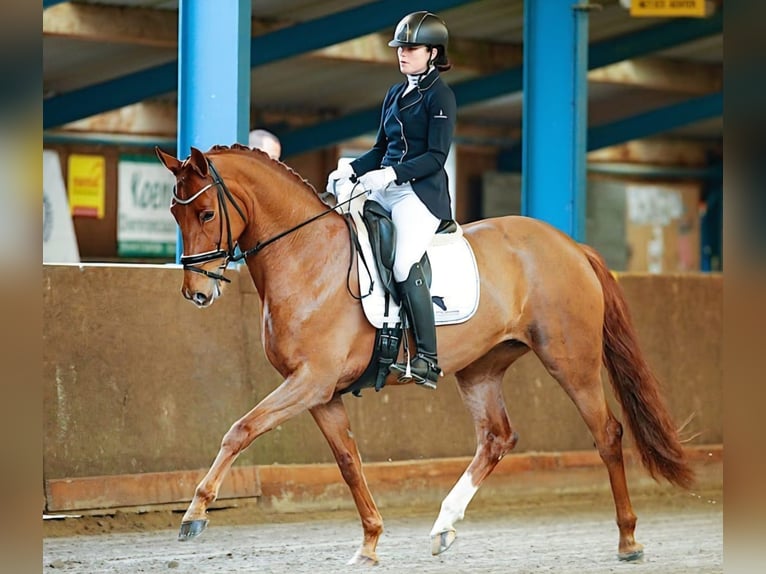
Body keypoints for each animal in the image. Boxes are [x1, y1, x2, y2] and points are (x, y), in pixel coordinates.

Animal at [155, 143, 694, 566]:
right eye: (176, 215)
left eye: (206, 214)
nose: (196, 293)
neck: (307, 257)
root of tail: (571, 245)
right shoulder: (320, 391)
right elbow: (348, 461)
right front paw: (370, 543)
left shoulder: (310, 380)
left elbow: (240, 429)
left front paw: (194, 515)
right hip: (480, 368)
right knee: (497, 438)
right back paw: (443, 526)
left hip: (570, 360)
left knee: (607, 433)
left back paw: (628, 539)